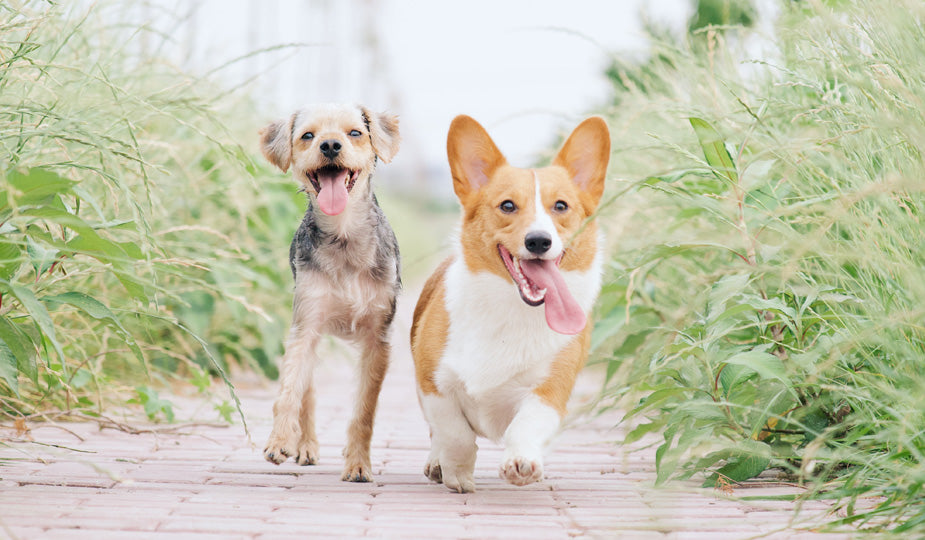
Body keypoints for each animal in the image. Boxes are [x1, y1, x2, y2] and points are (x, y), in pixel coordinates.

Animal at [262, 102, 402, 480]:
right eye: (307, 136)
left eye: (355, 133)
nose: (329, 145)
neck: (344, 234)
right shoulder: (306, 324)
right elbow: (289, 391)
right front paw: (280, 440)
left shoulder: (377, 340)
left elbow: (364, 411)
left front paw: (358, 464)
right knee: (306, 391)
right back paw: (305, 445)